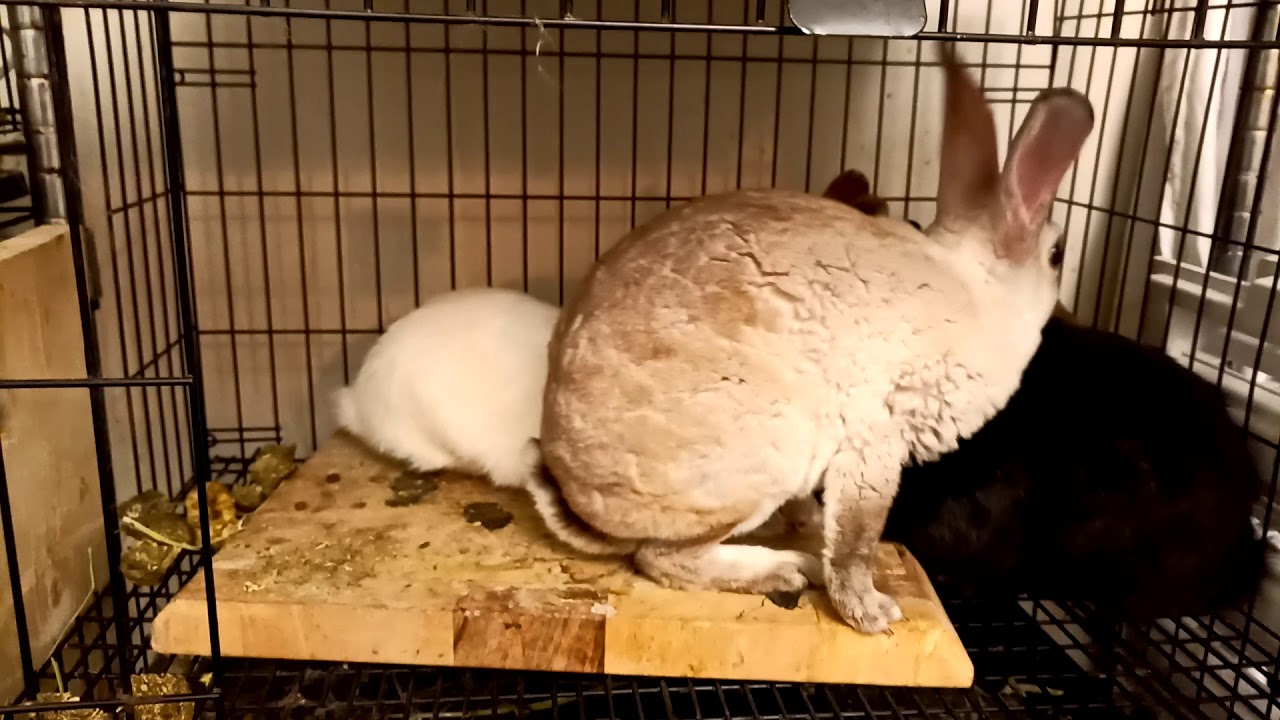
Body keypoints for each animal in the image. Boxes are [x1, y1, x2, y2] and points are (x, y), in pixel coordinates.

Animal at [539, 45, 1096, 633]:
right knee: (662, 558)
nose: (1063, 291)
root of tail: (579, 497)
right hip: (768, 453)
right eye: (1057, 255)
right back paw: (784, 570)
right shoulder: (878, 439)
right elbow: (856, 541)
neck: (978, 289)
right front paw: (873, 615)